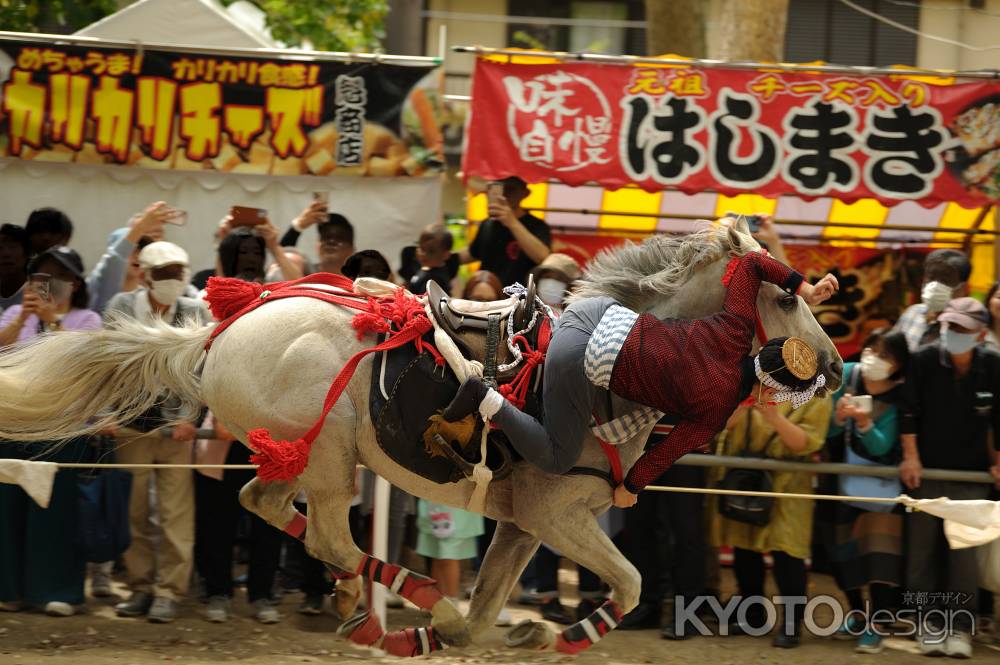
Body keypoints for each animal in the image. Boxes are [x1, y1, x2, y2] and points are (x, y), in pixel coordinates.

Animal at [0, 218, 844, 652]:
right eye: (787, 296)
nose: (836, 364)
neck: (626, 362)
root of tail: (212, 332)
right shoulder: (556, 512)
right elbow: (632, 582)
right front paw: (555, 630)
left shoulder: (523, 522)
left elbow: (486, 614)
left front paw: (503, 627)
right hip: (332, 455)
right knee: (324, 530)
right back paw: (405, 599)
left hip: (296, 452)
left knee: (265, 505)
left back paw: (368, 603)